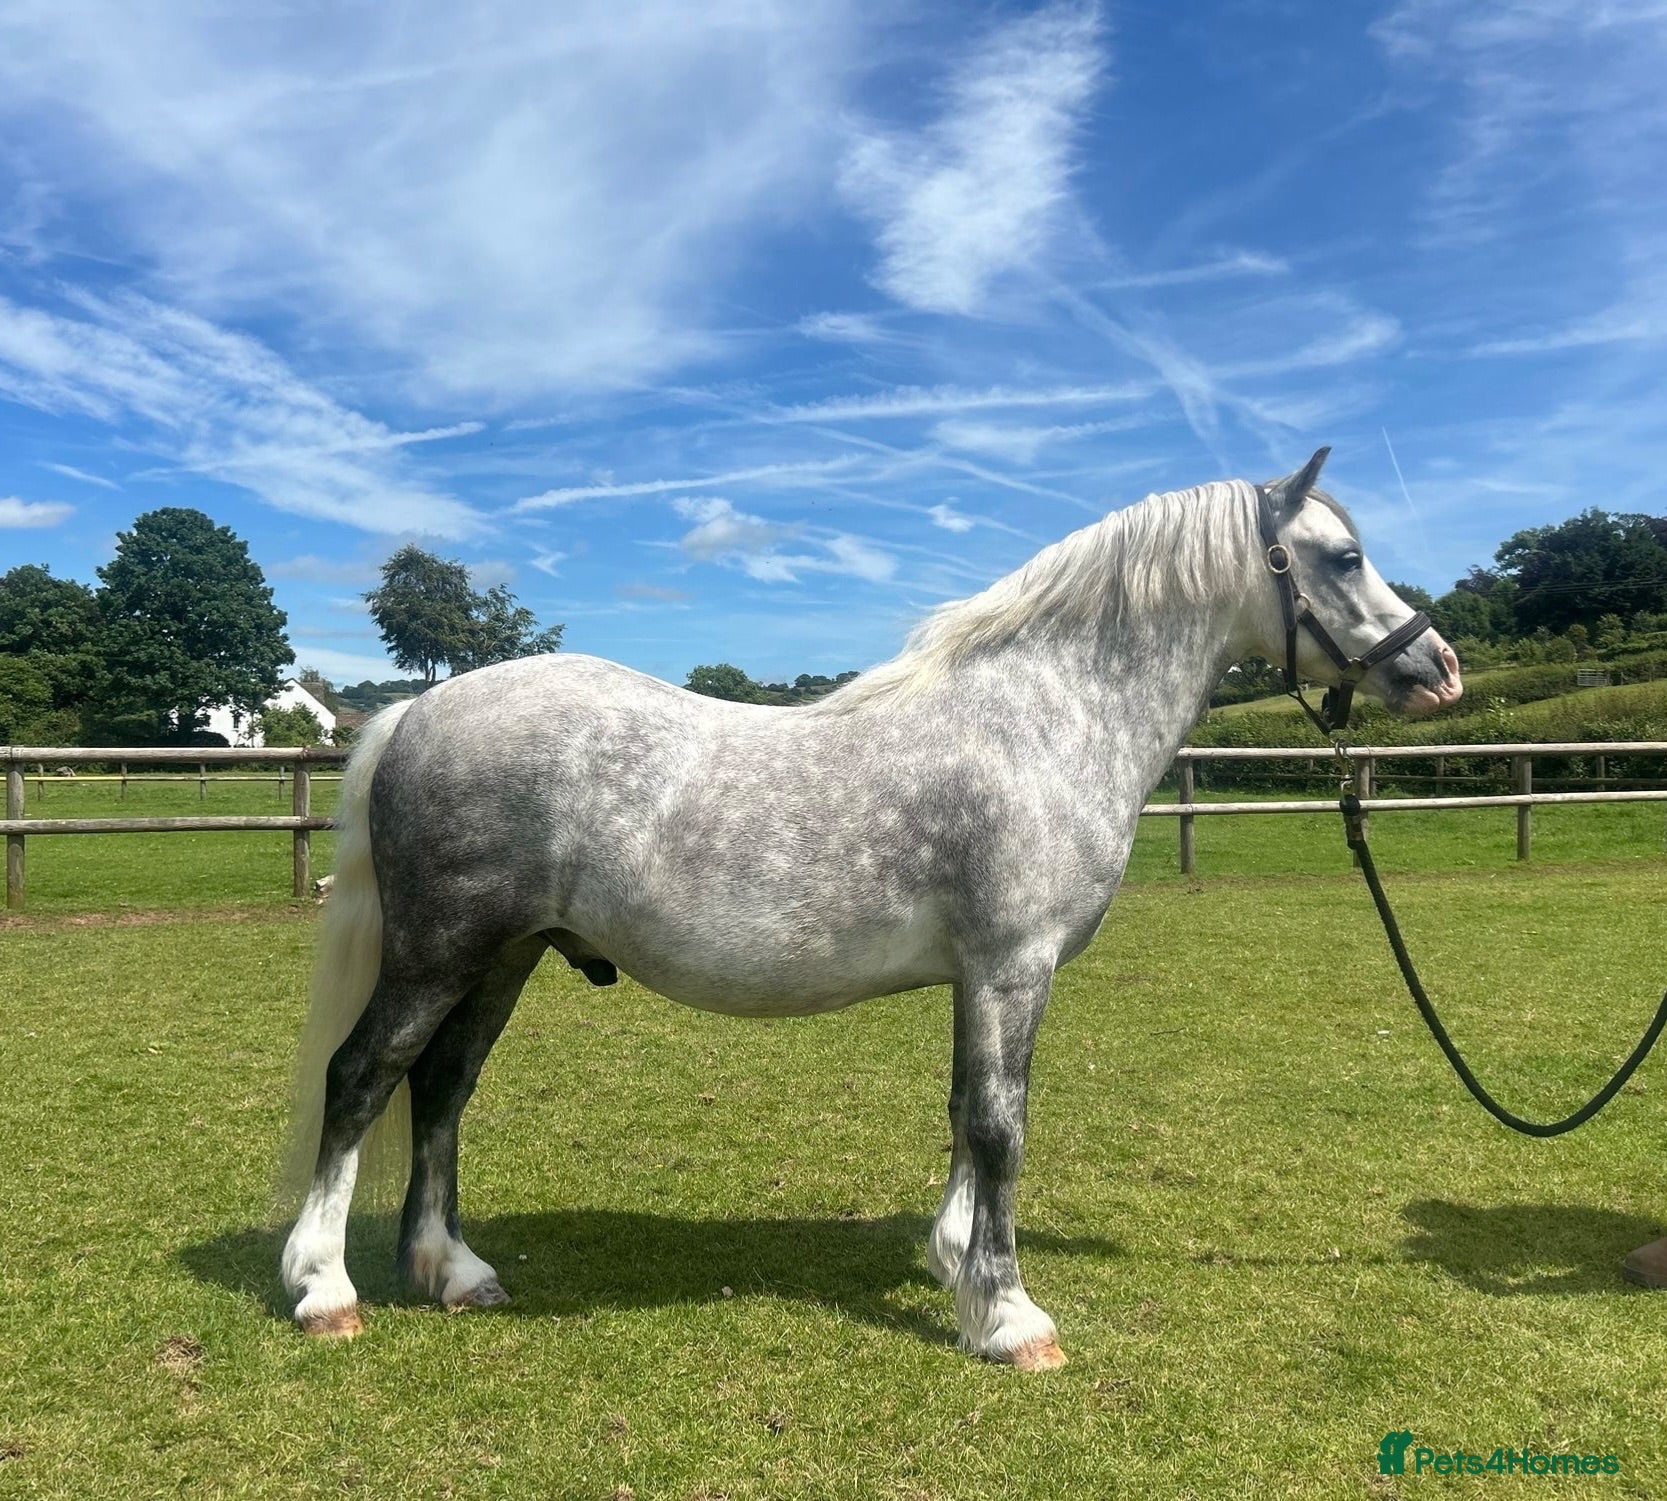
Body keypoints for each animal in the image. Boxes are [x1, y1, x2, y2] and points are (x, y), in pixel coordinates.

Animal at [279, 448, 1462, 1369]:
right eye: (1342, 557)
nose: (1437, 667)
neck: (1038, 720)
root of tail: (421, 708)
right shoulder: (1012, 966)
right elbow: (1000, 1126)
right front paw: (1010, 1316)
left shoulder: (978, 976)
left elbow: (963, 1109)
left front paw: (954, 1265)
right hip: (439, 952)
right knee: (362, 1076)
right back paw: (324, 1287)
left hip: (506, 955)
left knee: (441, 1085)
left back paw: (451, 1268)